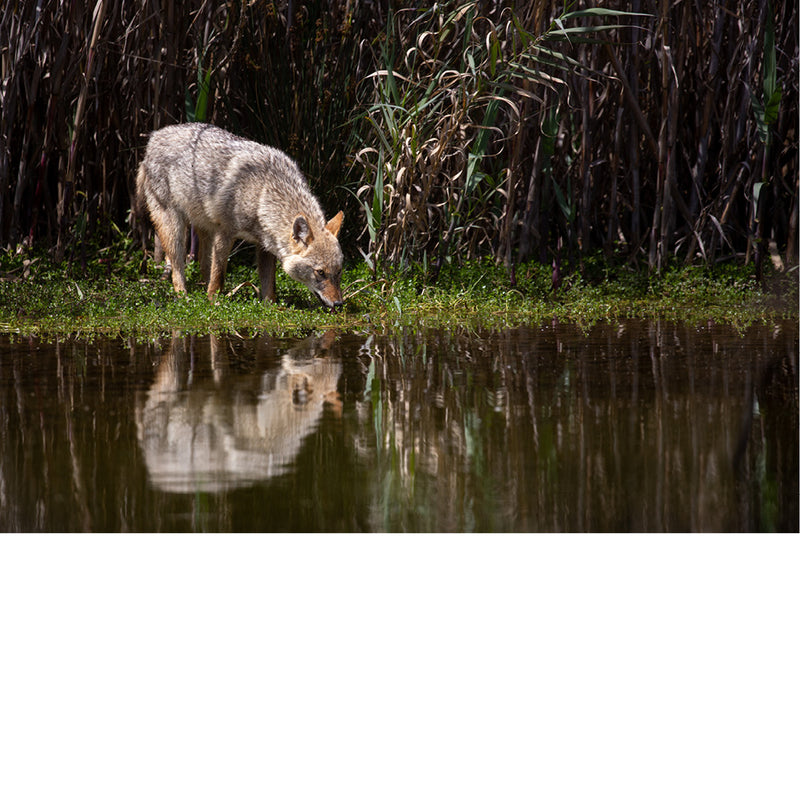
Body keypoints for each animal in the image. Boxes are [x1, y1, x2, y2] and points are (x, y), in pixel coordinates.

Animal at [135, 123, 344, 308]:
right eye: (320, 272)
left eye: (339, 272)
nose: (339, 304)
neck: (262, 194)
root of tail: (154, 137)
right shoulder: (225, 234)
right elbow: (219, 274)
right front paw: (213, 301)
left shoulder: (264, 246)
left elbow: (269, 284)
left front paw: (270, 307)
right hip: (175, 231)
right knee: (178, 268)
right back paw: (184, 296)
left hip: (204, 231)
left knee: (203, 264)